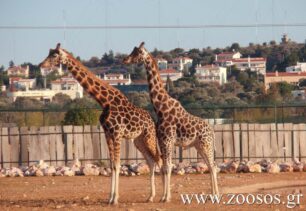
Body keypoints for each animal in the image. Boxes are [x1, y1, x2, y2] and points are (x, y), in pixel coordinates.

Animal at [40, 43, 163, 204]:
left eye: (54, 55)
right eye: (49, 53)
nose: (41, 65)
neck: (105, 102)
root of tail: (152, 120)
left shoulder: (117, 134)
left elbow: (117, 164)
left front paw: (115, 198)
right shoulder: (107, 133)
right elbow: (112, 165)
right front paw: (110, 198)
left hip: (149, 137)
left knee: (159, 160)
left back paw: (164, 197)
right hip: (138, 140)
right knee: (151, 161)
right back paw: (151, 196)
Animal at [123, 42, 219, 202]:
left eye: (137, 53)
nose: (125, 59)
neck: (160, 107)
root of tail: (212, 130)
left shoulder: (167, 140)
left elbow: (168, 167)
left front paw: (165, 197)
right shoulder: (162, 141)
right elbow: (165, 166)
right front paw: (164, 196)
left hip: (206, 144)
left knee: (212, 165)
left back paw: (215, 194)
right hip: (199, 146)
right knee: (210, 165)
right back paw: (212, 194)